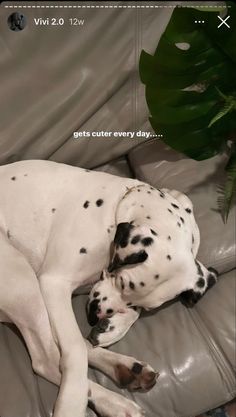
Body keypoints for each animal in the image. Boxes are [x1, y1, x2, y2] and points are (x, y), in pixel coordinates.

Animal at [0, 159, 218, 416]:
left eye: (140, 302)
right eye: (122, 281)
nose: (95, 316)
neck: (116, 208)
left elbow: (120, 320)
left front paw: (114, 327)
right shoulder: (53, 283)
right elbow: (74, 349)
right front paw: (72, 399)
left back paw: (125, 370)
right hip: (22, 280)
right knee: (49, 358)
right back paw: (110, 401)